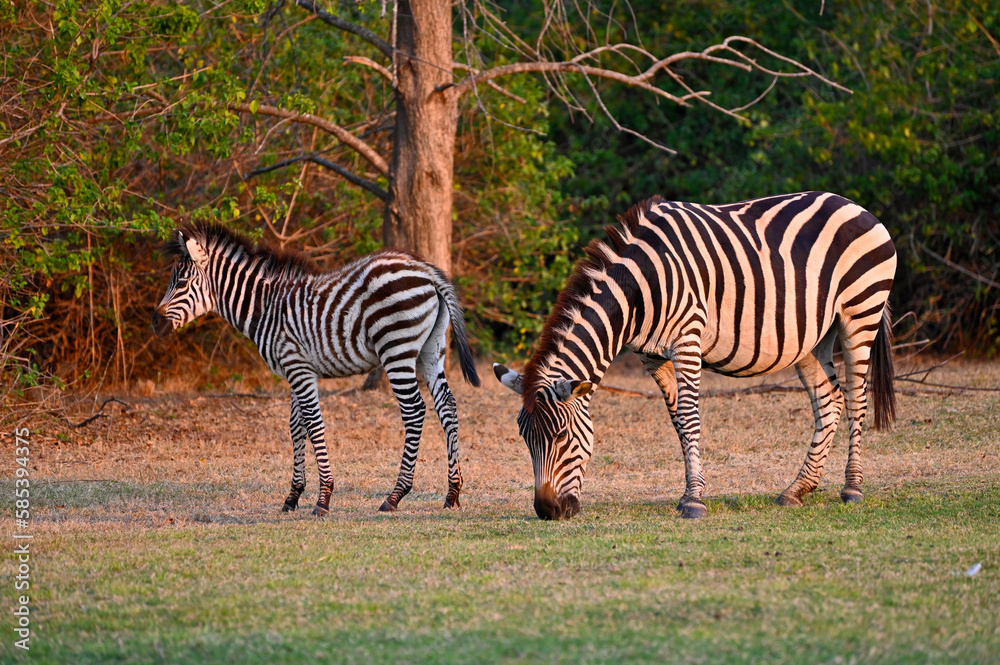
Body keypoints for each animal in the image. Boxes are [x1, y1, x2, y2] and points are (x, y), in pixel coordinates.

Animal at [152, 222, 480, 516]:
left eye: (180, 283)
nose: (154, 323)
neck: (266, 308)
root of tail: (427, 270)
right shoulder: (297, 369)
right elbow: (296, 426)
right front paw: (293, 496)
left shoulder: (297, 367)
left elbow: (313, 423)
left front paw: (323, 499)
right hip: (430, 350)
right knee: (447, 406)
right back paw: (452, 492)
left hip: (396, 349)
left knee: (414, 411)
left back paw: (395, 495)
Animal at [494, 191, 896, 520]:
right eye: (525, 439)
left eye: (561, 437)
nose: (547, 511)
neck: (639, 289)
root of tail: (855, 205)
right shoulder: (650, 356)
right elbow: (677, 421)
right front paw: (692, 489)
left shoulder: (688, 339)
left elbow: (690, 417)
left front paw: (693, 501)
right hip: (811, 337)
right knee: (829, 400)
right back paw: (798, 489)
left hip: (860, 313)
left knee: (857, 399)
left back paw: (852, 488)